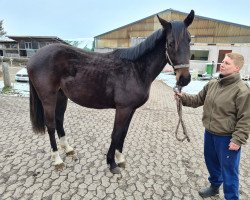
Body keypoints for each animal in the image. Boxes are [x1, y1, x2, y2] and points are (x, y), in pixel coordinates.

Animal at [27, 10, 195, 173]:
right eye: (171, 43)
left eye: (189, 41)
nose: (184, 79)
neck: (136, 69)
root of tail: (34, 57)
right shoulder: (123, 109)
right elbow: (116, 133)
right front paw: (112, 162)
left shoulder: (131, 109)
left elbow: (123, 133)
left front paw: (120, 159)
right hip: (48, 98)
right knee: (50, 125)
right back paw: (57, 160)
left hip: (62, 96)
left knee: (59, 120)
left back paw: (68, 149)